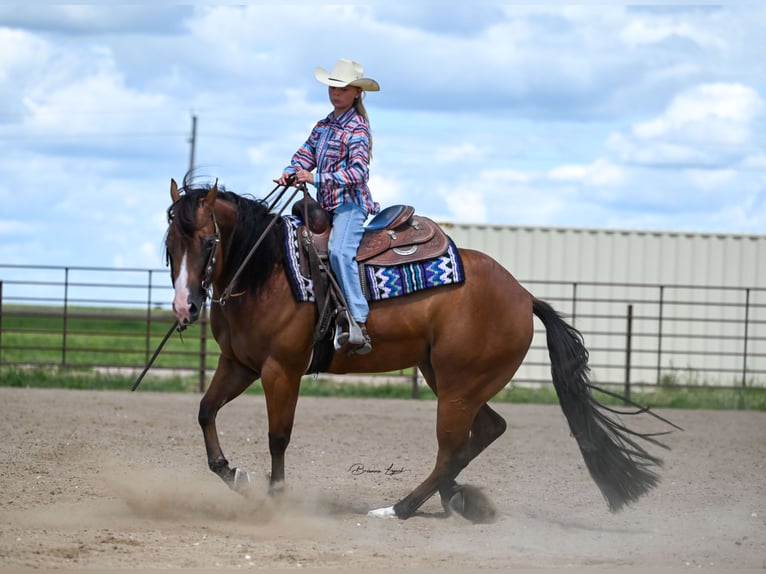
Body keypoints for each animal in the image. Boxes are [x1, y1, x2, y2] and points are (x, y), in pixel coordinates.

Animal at [165, 180, 676, 528]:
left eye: (208, 242)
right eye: (170, 244)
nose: (185, 306)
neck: (267, 270)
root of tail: (523, 295)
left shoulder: (281, 371)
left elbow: (278, 436)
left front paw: (275, 499)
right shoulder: (238, 364)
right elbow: (205, 411)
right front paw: (234, 474)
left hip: (458, 387)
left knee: (450, 449)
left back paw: (400, 507)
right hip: (447, 378)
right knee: (486, 430)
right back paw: (458, 499)